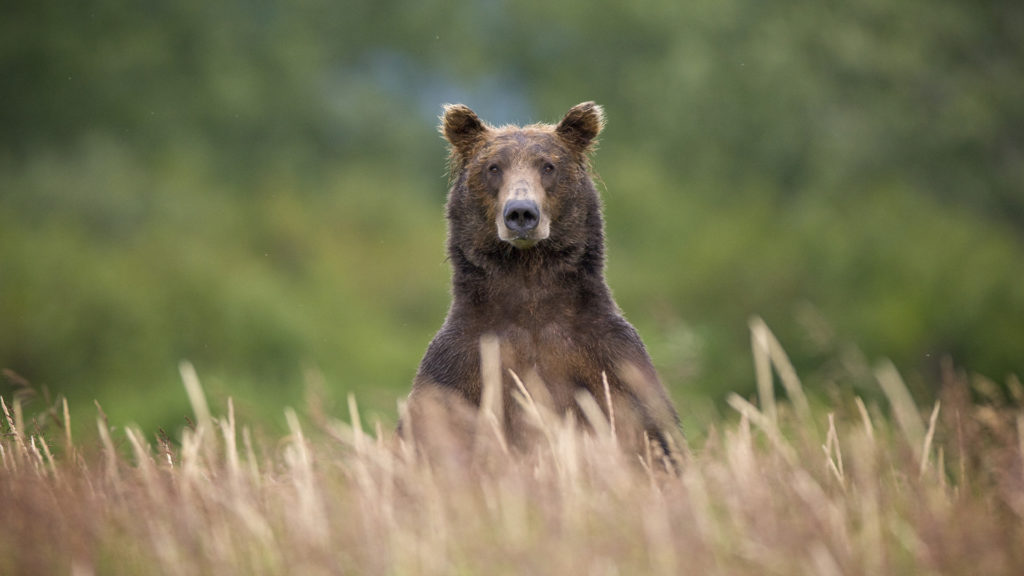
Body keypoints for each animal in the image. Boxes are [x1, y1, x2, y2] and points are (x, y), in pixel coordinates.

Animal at [403, 100, 684, 463]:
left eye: (548, 166)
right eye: (493, 167)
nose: (521, 212)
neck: (529, 287)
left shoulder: (610, 359)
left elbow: (654, 438)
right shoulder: (459, 365)